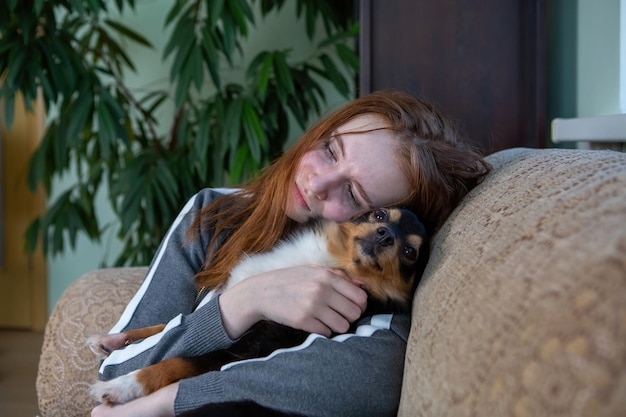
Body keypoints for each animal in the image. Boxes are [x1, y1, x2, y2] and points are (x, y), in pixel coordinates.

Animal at [88, 207, 426, 404]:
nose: (385, 236)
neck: (331, 261)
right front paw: (113, 340)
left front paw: (122, 385)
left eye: (409, 252)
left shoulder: (247, 349)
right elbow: (170, 322)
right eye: (380, 216)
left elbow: (178, 362)